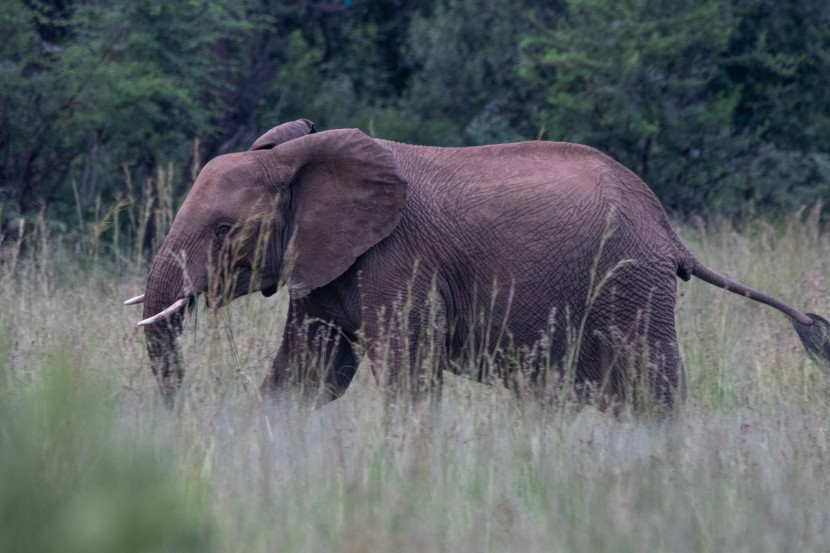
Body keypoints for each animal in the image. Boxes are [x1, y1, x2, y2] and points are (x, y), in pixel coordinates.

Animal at [123, 118, 830, 412]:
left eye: (224, 231)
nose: (181, 410)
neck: (299, 157)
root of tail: (669, 230)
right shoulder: (325, 258)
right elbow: (309, 371)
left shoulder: (399, 258)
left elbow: (406, 370)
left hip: (629, 283)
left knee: (648, 385)